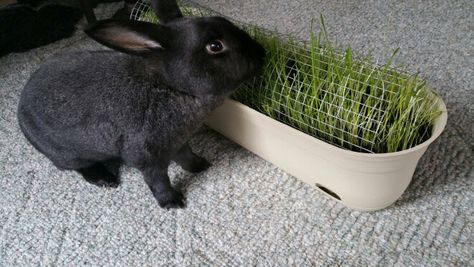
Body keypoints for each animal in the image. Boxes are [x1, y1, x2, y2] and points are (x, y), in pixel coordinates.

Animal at [16, 0, 264, 209]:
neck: (172, 87)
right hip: (70, 154)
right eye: (215, 46)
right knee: (80, 168)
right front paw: (173, 202)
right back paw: (105, 180)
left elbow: (186, 157)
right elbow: (158, 181)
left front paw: (202, 166)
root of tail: (20, 108)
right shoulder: (148, 159)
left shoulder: (180, 143)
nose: (261, 53)